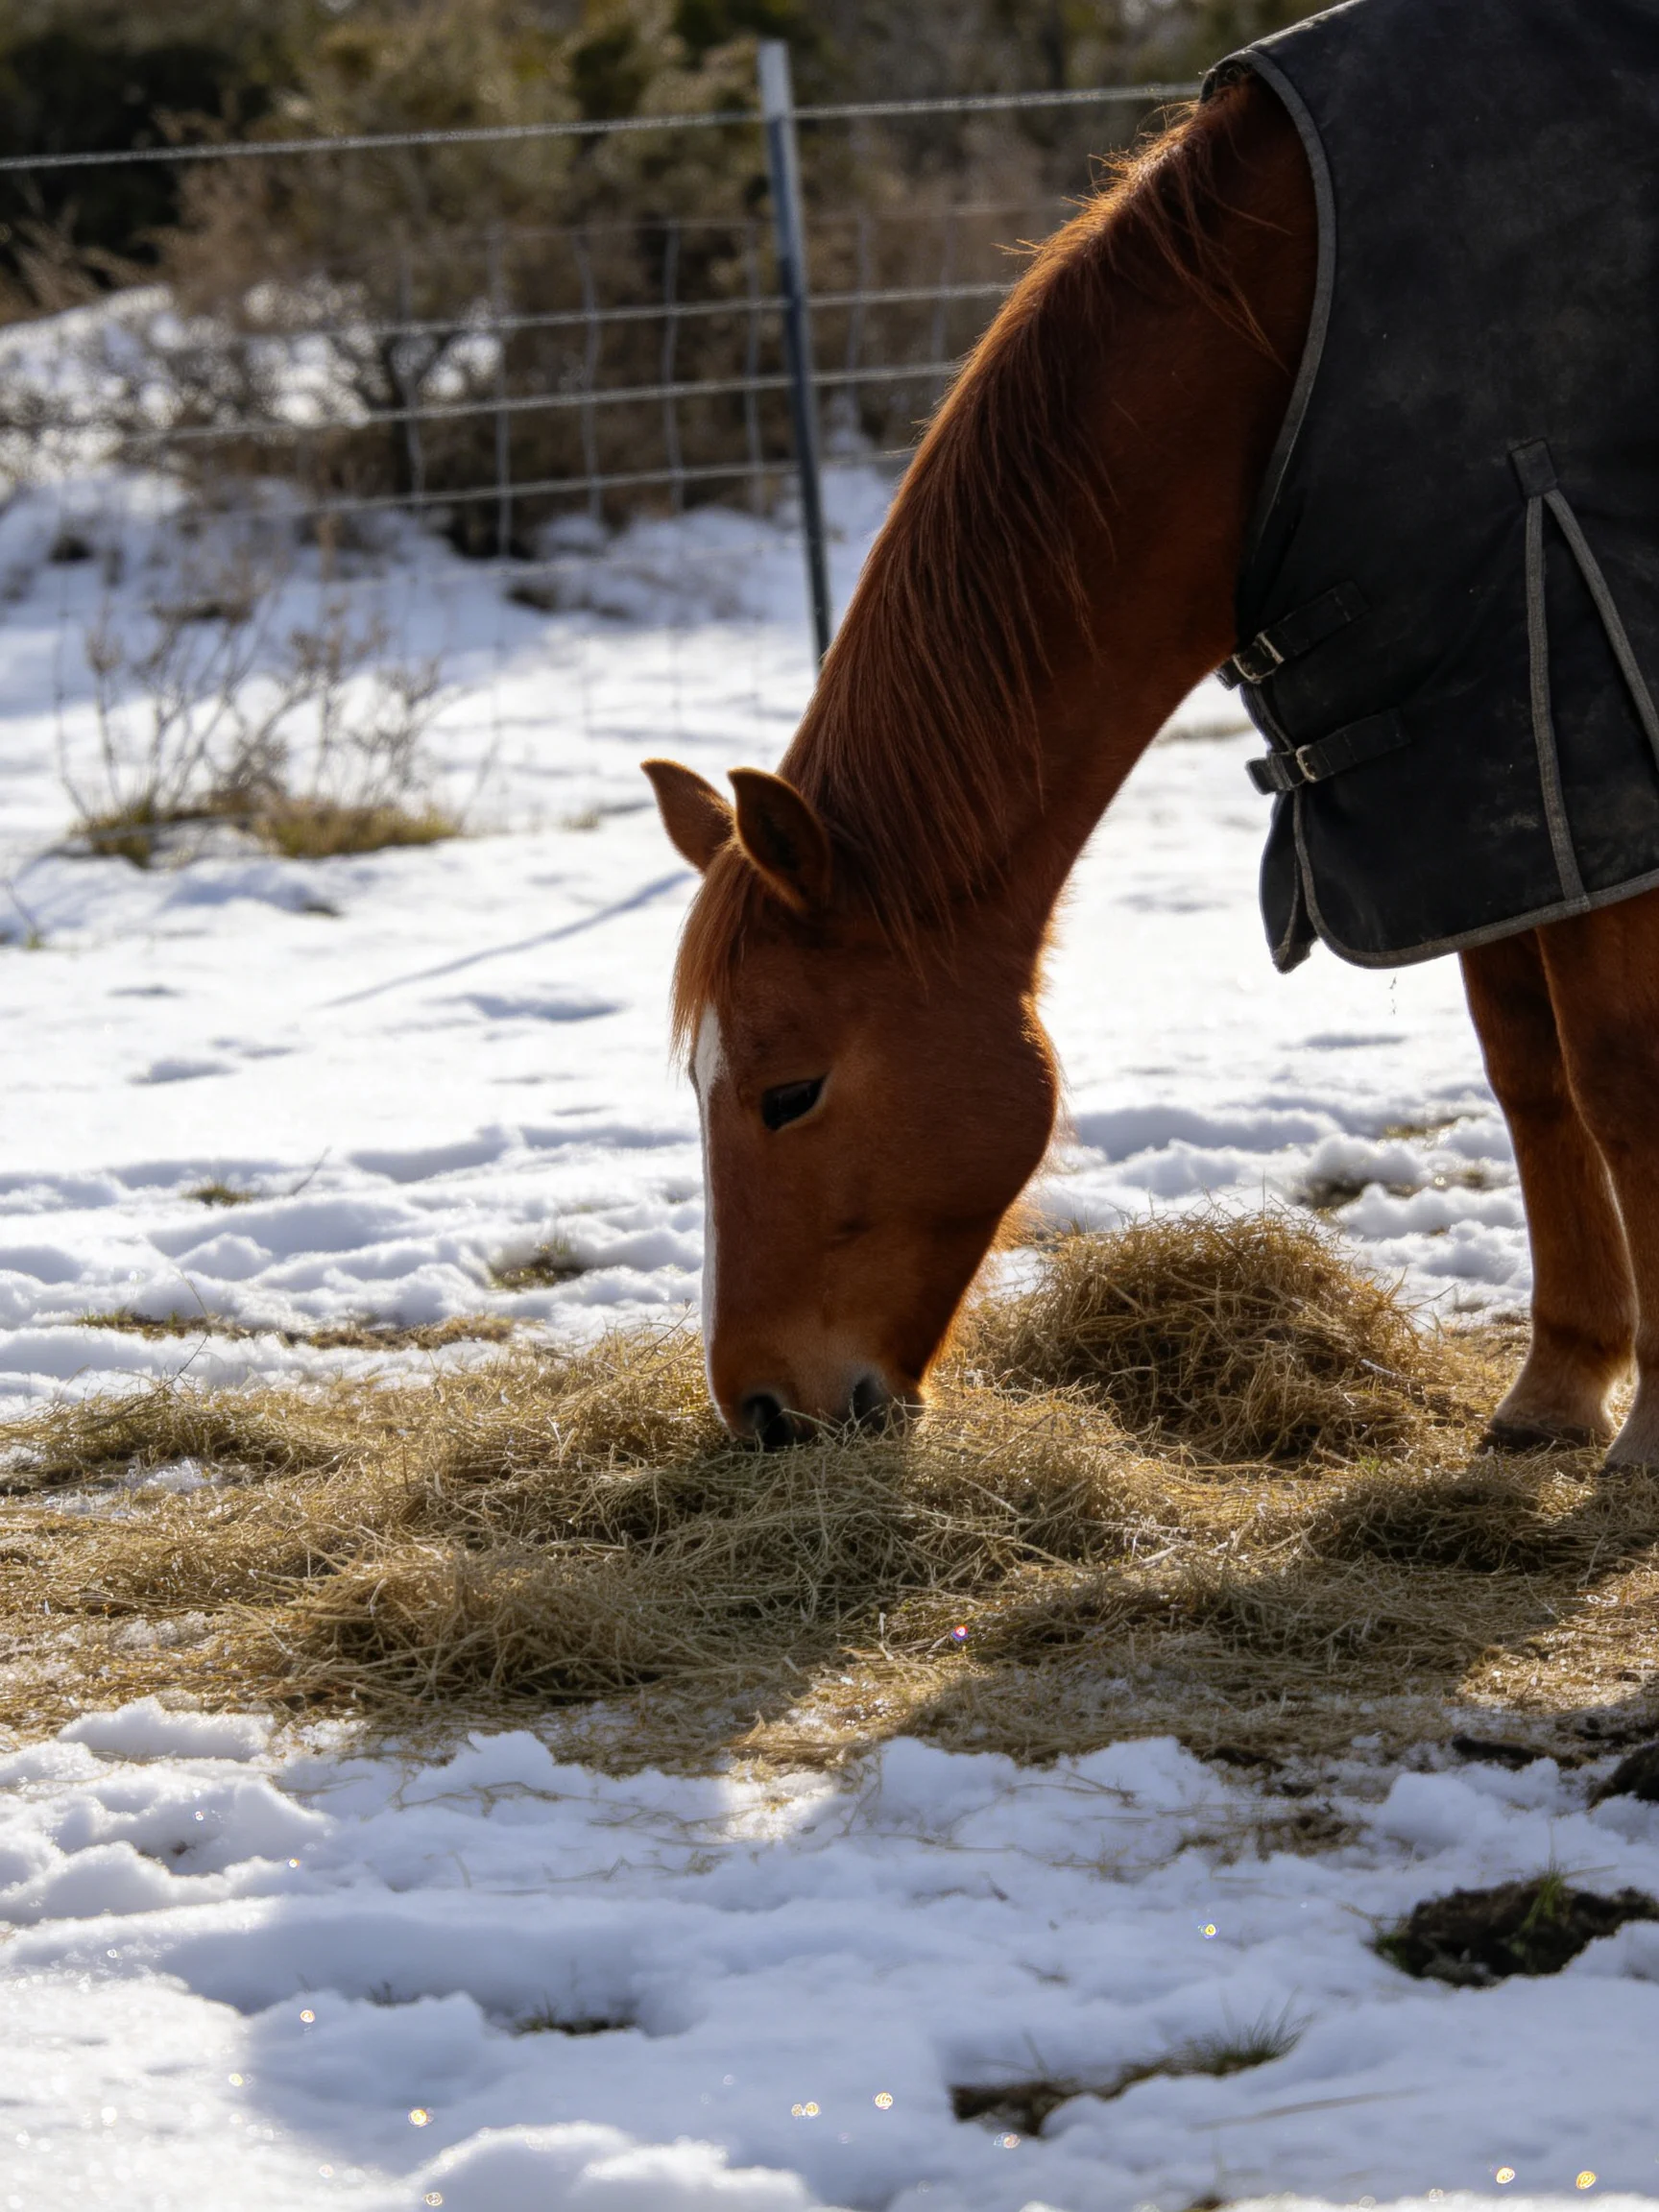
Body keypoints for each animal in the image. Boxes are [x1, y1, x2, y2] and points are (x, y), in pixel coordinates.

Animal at [643, 71, 1659, 1472]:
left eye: (790, 1093)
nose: (761, 1411)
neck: (1268, 356)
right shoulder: (1475, 800)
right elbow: (1533, 1077)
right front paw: (1560, 1385)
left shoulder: (1573, 747)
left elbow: (1618, 1078)